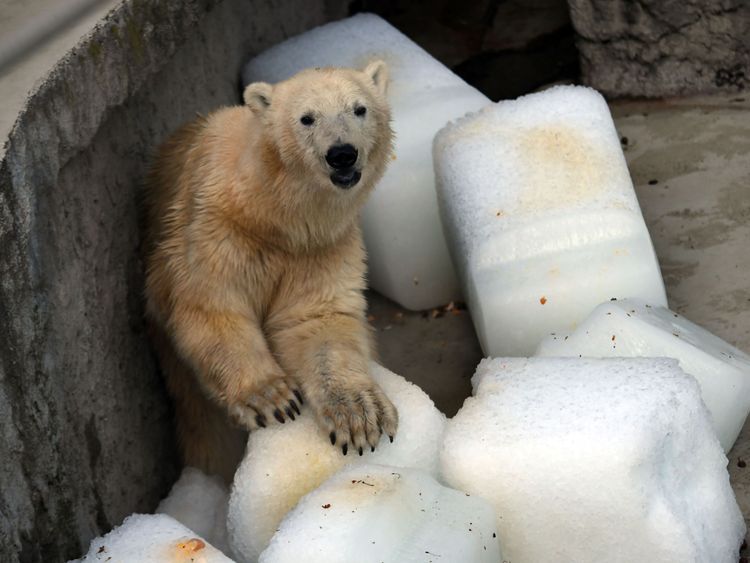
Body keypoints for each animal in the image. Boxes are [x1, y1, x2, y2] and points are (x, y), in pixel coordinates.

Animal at [143, 61, 399, 483]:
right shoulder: (215, 231)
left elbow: (315, 321)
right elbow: (211, 305)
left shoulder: (321, 248)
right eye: (307, 118)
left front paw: (360, 414)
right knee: (206, 434)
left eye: (359, 108)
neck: (274, 216)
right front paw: (271, 397)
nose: (342, 155)